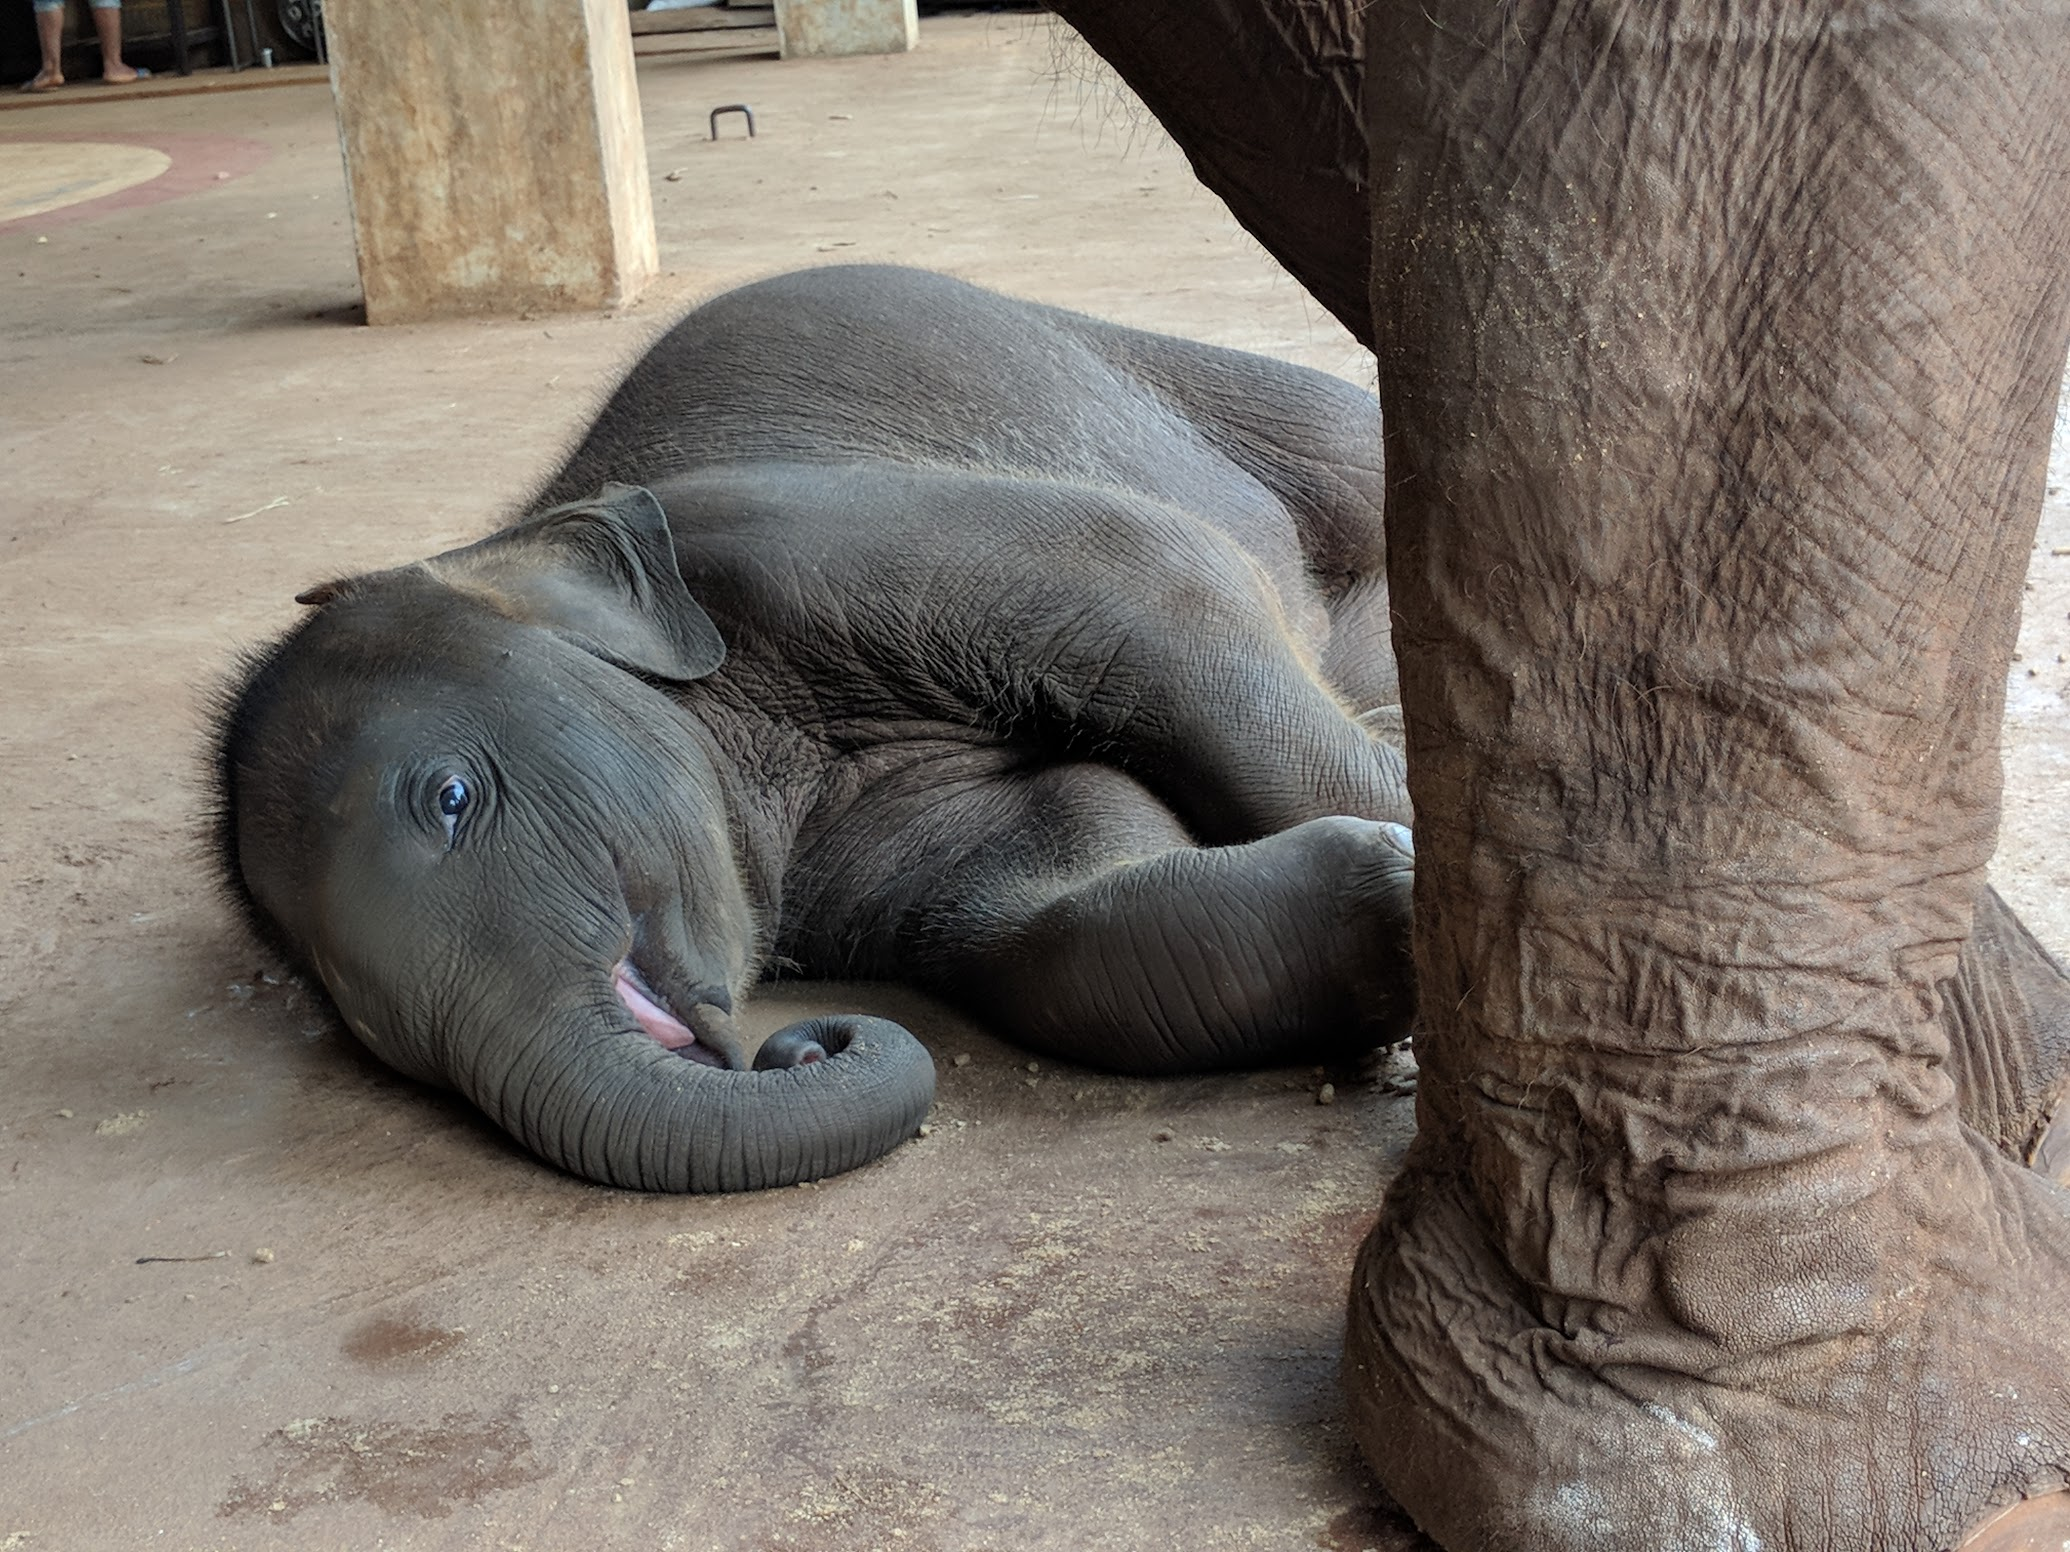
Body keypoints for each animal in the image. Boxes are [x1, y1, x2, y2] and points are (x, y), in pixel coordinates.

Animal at [210, 262, 1419, 1198]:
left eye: (451, 799)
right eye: (358, 1017)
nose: (797, 1043)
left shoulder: (807, 533)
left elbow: (1168, 589)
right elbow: (1059, 892)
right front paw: (1392, 905)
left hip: (1194, 380)